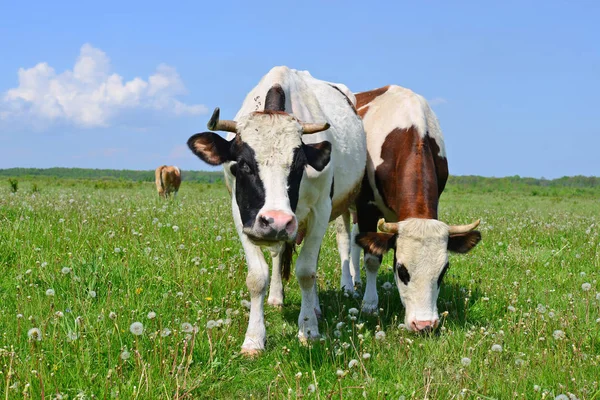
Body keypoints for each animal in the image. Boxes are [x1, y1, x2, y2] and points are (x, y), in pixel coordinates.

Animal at [188, 66, 366, 356]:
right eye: (244, 164)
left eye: (299, 164)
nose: (277, 222)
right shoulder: (242, 214)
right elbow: (257, 276)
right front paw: (253, 338)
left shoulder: (321, 209)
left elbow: (307, 271)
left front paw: (308, 329)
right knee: (278, 252)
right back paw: (276, 296)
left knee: (337, 245)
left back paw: (318, 305)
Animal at [352, 86, 482, 332]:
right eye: (402, 270)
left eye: (443, 271)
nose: (424, 325)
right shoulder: (366, 207)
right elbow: (372, 258)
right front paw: (369, 304)